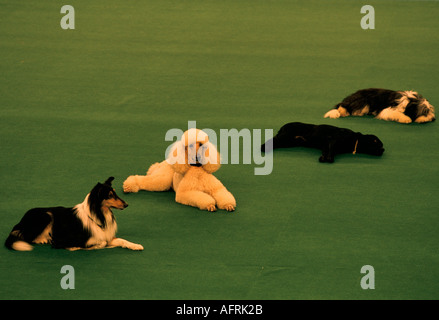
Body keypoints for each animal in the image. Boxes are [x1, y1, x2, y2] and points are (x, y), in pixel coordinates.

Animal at [5, 176, 144, 251]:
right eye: (110, 195)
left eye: (115, 193)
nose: (126, 204)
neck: (98, 214)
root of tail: (21, 221)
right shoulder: (75, 239)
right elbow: (100, 243)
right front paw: (77, 247)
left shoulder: (105, 236)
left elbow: (122, 240)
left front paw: (136, 246)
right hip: (46, 215)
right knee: (27, 237)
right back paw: (43, 239)